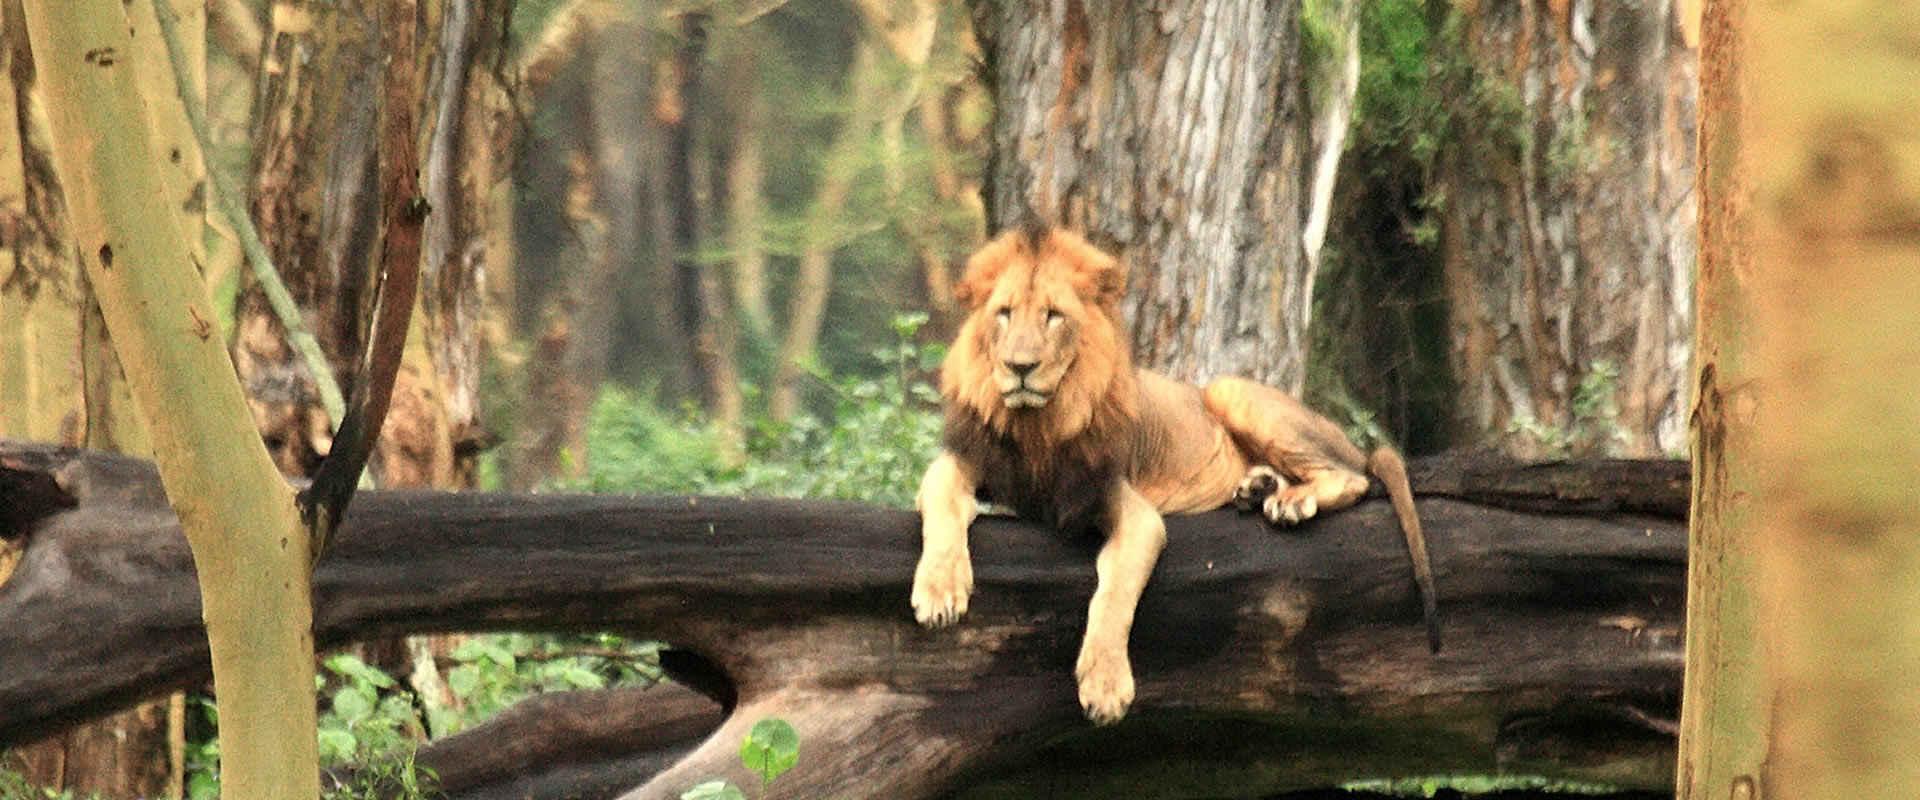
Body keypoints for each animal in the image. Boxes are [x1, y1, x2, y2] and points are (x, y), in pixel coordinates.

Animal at [911, 225, 1439, 724]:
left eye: (1053, 316)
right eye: (1003, 313)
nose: (1020, 367)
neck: (1037, 425)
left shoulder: (1128, 508)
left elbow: (1114, 595)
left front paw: (1106, 687)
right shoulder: (966, 460)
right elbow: (939, 500)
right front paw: (939, 592)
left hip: (1232, 391)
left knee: (1354, 477)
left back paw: (1289, 500)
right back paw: (1257, 487)